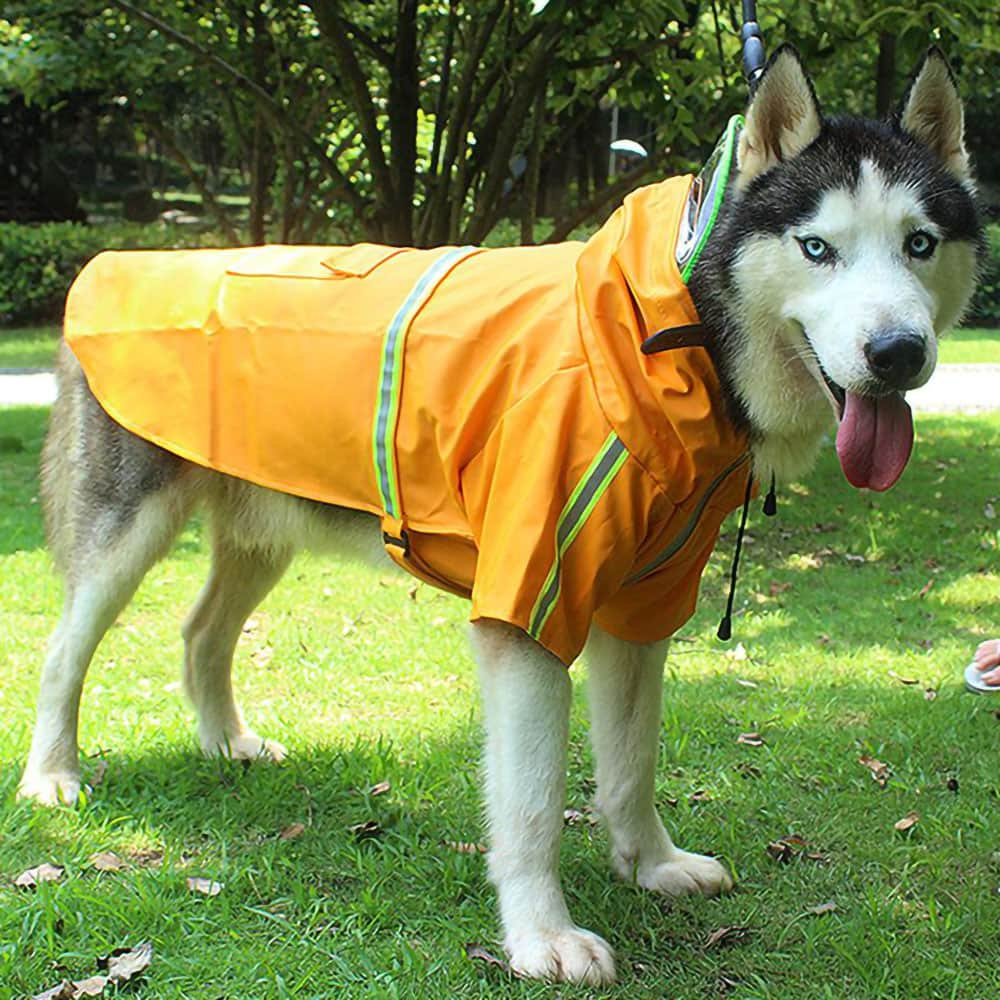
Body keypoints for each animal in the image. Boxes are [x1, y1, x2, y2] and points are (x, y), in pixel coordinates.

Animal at [19, 47, 980, 984]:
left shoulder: (640, 608)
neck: (670, 329)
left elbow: (630, 764)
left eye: (919, 244)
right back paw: (52, 778)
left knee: (201, 633)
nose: (899, 353)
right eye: (817, 247)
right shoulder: (527, 613)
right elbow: (532, 803)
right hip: (126, 535)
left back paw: (226, 743)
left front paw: (651, 864)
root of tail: (109, 266)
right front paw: (541, 937)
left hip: (265, 532)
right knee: (64, 650)